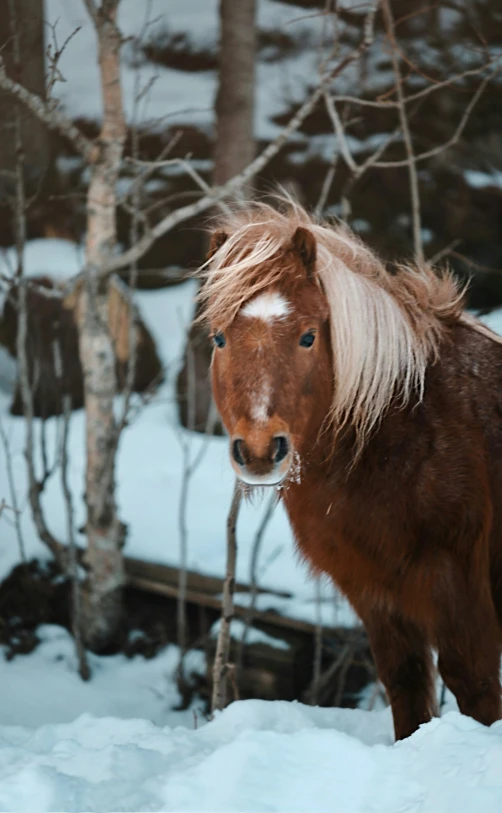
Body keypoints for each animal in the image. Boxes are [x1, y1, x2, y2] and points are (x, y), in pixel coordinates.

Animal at [202, 198, 502, 744]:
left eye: (308, 337)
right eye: (218, 338)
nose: (259, 450)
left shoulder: (459, 587)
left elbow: (476, 690)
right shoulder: (374, 594)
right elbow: (406, 688)